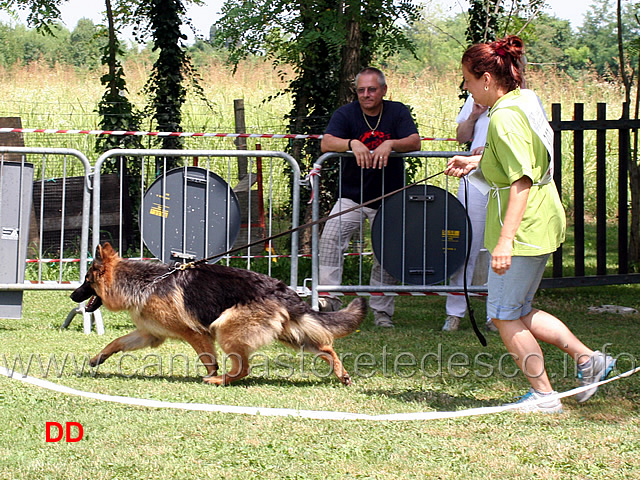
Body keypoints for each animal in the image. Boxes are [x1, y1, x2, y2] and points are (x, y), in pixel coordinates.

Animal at [70, 244, 368, 386]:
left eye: (86, 281)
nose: (72, 296)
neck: (144, 282)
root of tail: (281, 288)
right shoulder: (149, 334)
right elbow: (116, 342)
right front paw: (97, 358)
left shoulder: (195, 333)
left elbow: (207, 358)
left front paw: (211, 372)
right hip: (290, 334)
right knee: (326, 346)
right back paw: (342, 374)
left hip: (226, 330)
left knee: (243, 369)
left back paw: (219, 380)